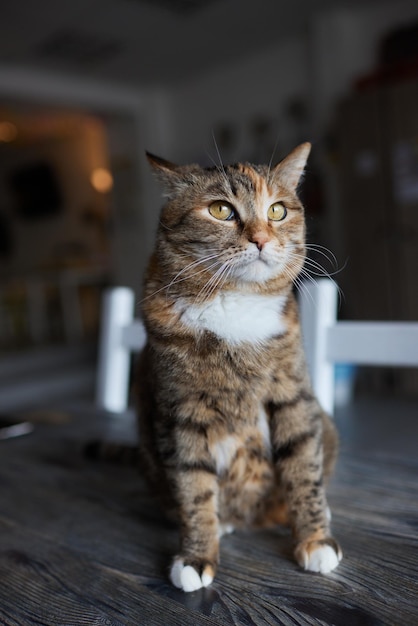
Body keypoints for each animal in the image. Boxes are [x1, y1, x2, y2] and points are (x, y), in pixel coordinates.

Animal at [136, 141, 342, 588]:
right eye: (220, 210)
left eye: (277, 210)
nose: (262, 238)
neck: (234, 303)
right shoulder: (181, 413)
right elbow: (193, 486)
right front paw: (197, 556)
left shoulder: (293, 395)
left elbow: (303, 464)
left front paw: (315, 540)